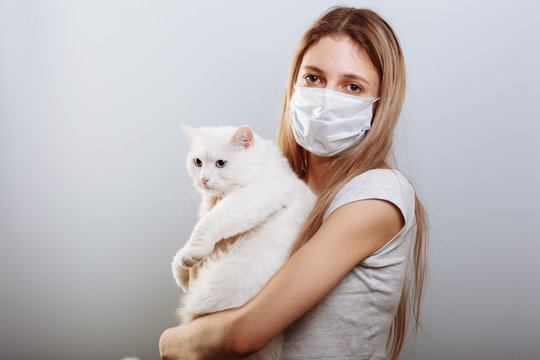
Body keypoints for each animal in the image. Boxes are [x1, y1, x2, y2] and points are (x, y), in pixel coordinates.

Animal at [172, 125, 316, 358]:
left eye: (221, 163)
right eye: (198, 162)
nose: (203, 179)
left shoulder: (248, 199)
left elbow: (207, 225)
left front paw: (192, 256)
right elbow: (179, 257)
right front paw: (183, 275)